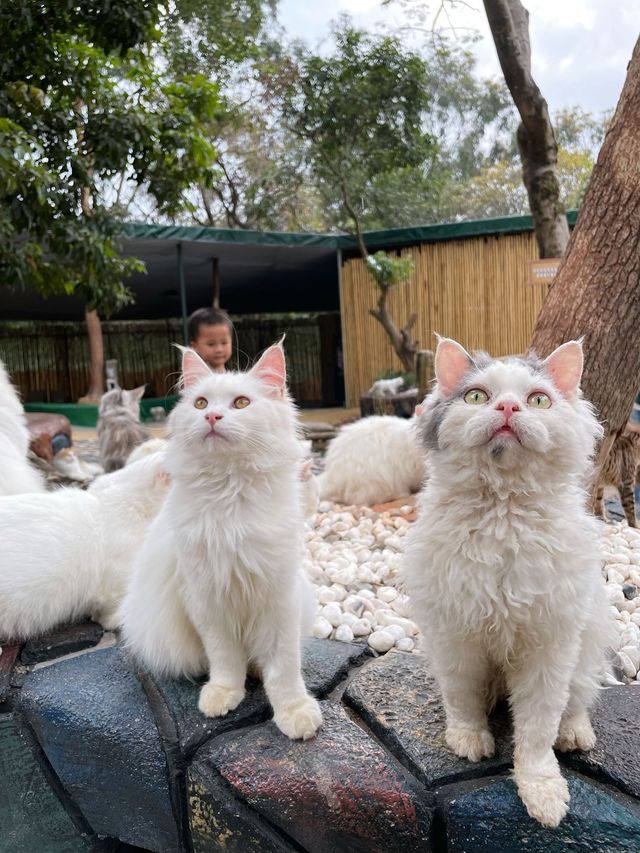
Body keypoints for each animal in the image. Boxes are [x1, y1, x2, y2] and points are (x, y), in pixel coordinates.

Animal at [120, 340, 322, 740]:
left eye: (241, 403)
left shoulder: (279, 597)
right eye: (200, 403)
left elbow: (284, 667)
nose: (212, 417)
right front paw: (223, 693)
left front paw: (293, 711)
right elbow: (225, 658)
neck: (231, 495)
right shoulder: (206, 598)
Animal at [400, 338, 616, 824]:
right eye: (477, 396)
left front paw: (544, 797)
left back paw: (576, 737)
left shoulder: (549, 648)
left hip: (587, 645)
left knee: (578, 703)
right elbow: (462, 699)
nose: (509, 407)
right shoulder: (456, 638)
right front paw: (468, 742)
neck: (503, 509)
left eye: (538, 401)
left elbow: (537, 730)